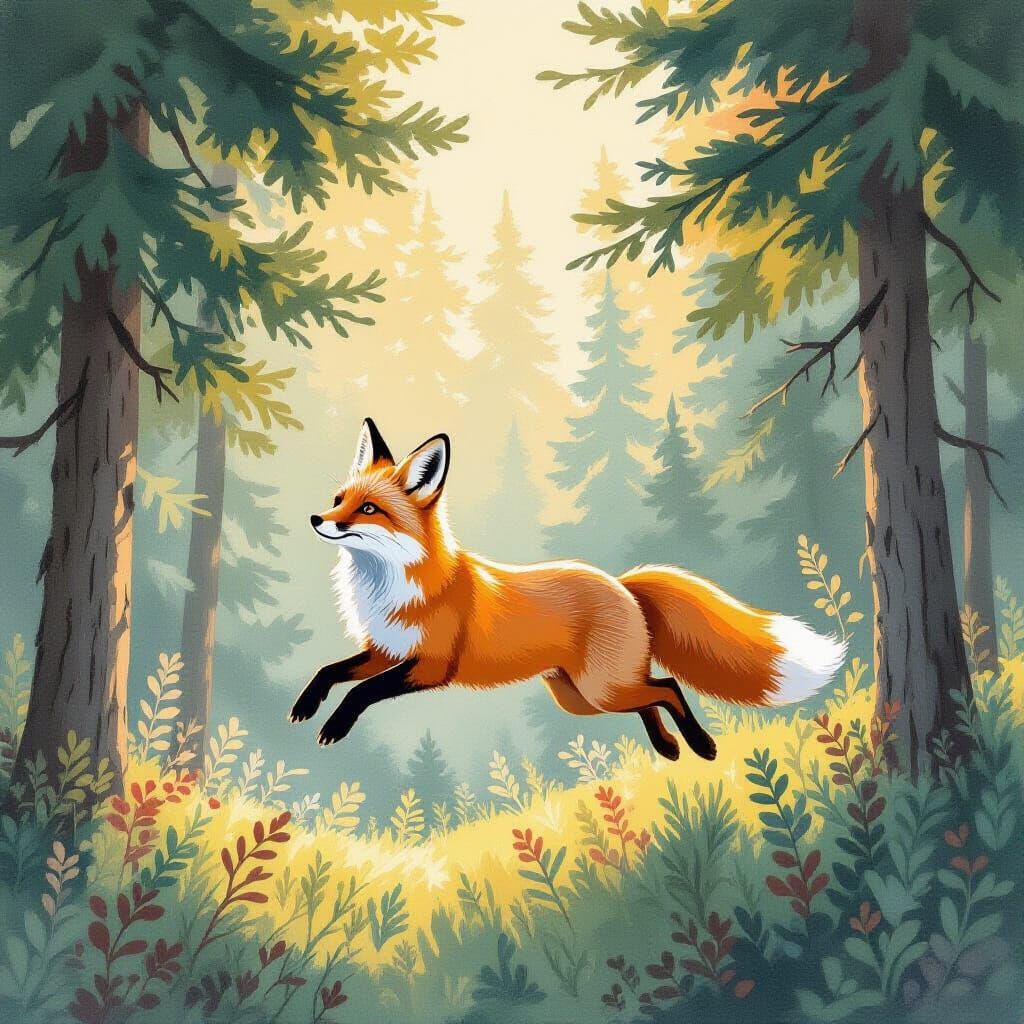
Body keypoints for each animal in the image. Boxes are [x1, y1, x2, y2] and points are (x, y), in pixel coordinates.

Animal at [290, 419, 847, 761]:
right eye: (339, 499)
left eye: (368, 509)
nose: (316, 519)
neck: (397, 583)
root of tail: (622, 584)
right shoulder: (386, 650)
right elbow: (330, 671)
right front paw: (306, 705)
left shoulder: (430, 665)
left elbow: (360, 690)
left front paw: (334, 724)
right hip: (582, 697)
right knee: (650, 696)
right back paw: (667, 747)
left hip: (599, 689)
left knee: (667, 687)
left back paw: (700, 743)